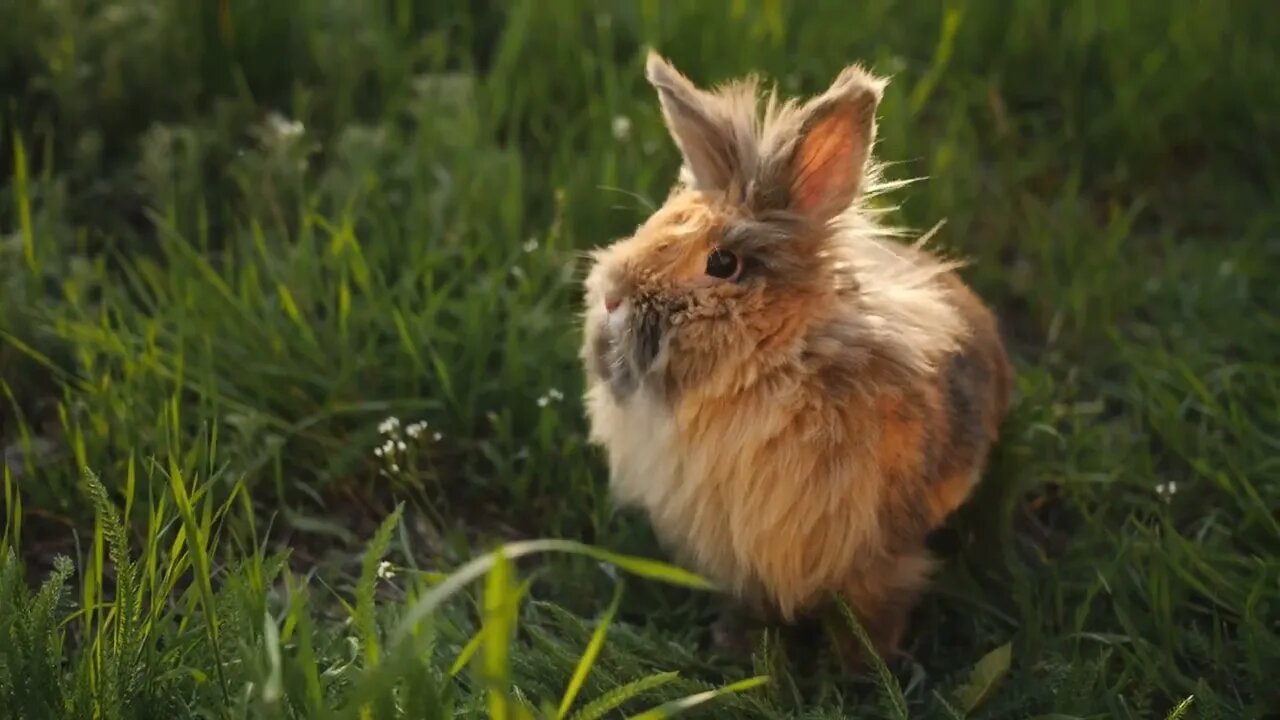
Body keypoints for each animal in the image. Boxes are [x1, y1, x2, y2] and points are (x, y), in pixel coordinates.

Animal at [581, 50, 1008, 666]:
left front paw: (863, 668)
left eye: (724, 263)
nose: (612, 295)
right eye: (654, 223)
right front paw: (737, 645)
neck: (759, 374)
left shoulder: (876, 554)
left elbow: (874, 609)